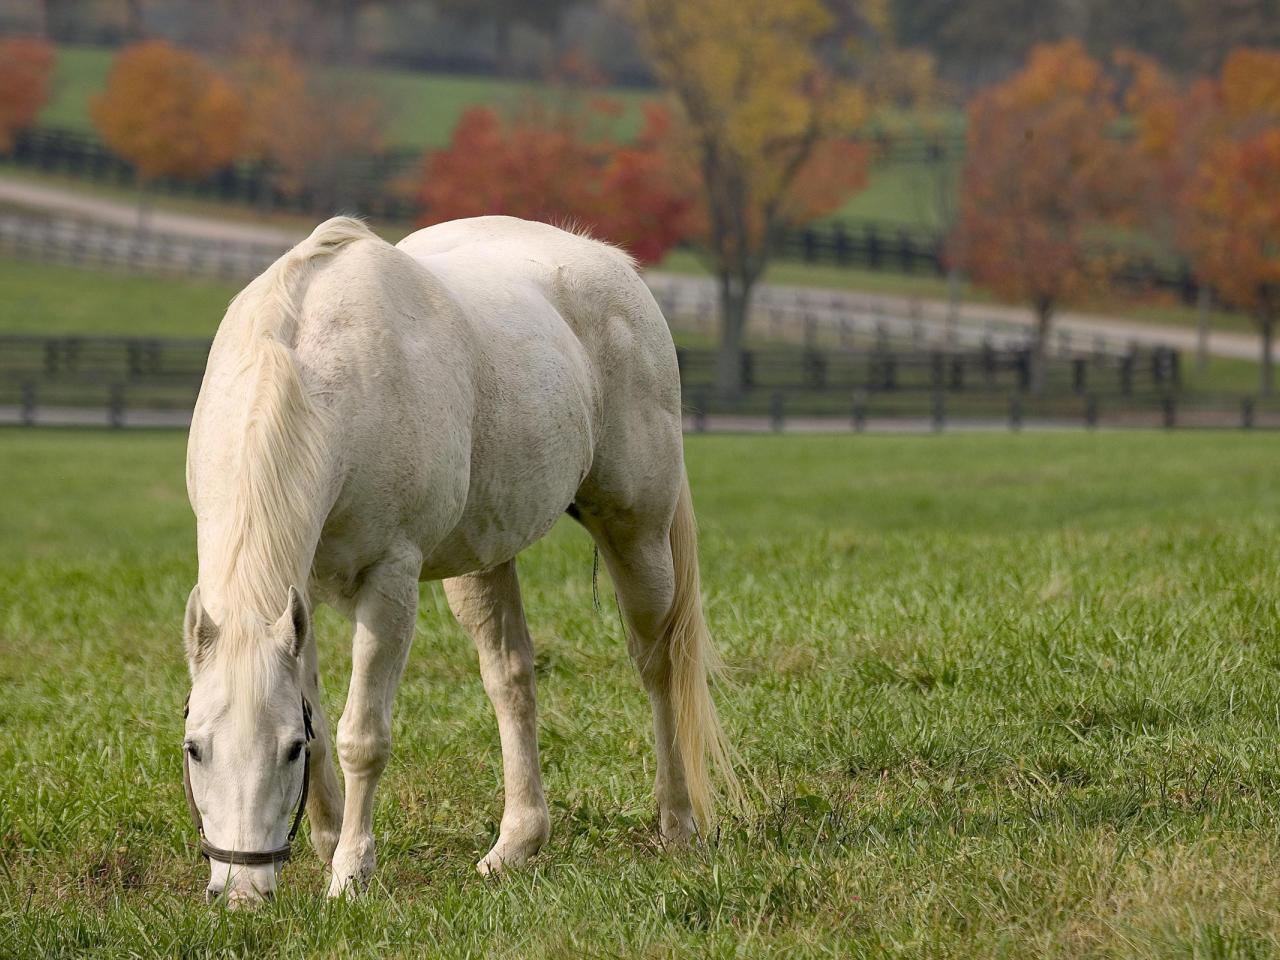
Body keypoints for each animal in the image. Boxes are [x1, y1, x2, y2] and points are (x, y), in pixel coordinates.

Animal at [183, 213, 742, 906]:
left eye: (286, 751)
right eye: (194, 749)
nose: (240, 891)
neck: (314, 376)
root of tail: (615, 265)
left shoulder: (390, 584)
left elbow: (361, 735)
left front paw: (350, 874)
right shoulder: (299, 594)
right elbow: (324, 717)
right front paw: (328, 845)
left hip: (637, 534)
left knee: (660, 666)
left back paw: (677, 823)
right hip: (484, 560)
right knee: (511, 678)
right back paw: (516, 845)